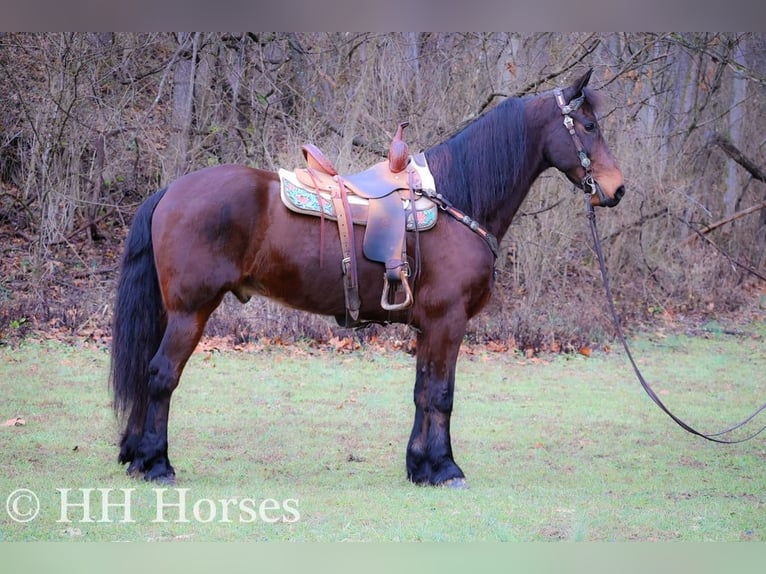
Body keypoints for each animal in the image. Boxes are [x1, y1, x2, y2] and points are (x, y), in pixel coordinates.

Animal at [110, 69, 625, 486]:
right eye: (589, 126)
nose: (617, 189)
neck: (457, 200)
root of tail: (171, 190)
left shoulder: (430, 327)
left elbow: (423, 392)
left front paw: (421, 466)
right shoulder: (448, 321)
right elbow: (442, 394)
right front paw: (446, 469)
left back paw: (136, 456)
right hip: (191, 311)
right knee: (161, 375)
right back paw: (157, 464)